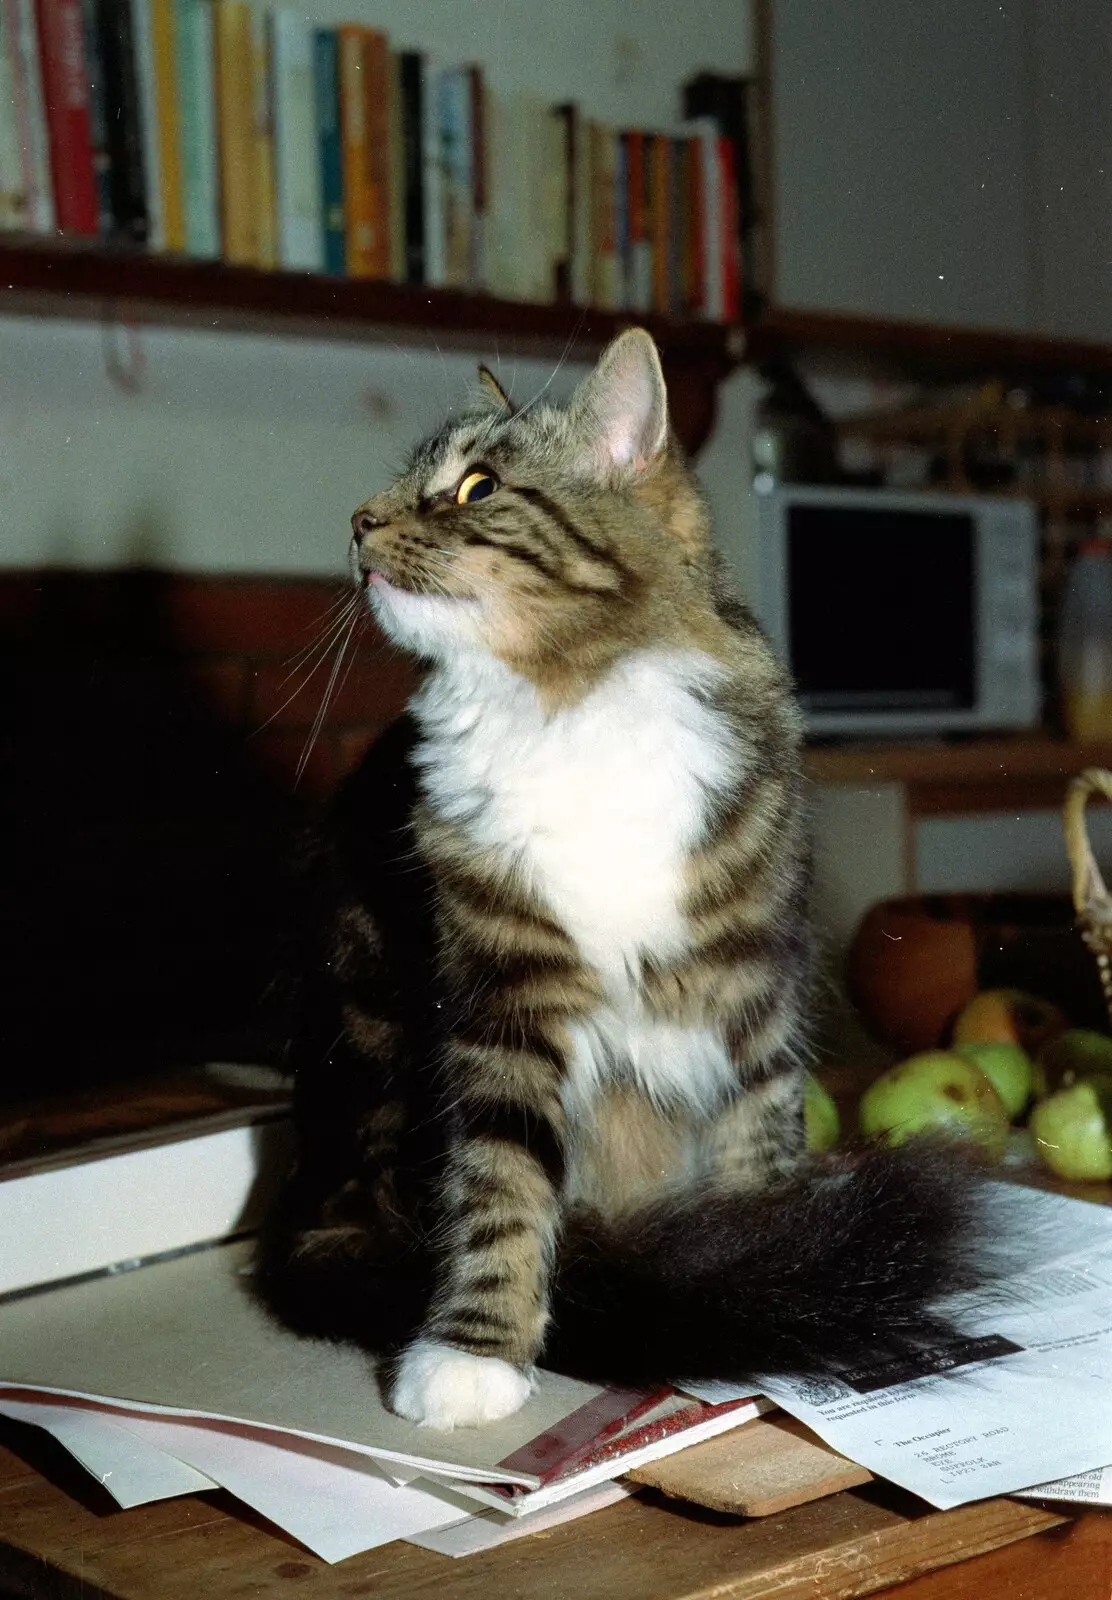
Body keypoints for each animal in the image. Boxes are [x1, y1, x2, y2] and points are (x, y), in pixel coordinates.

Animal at [262, 331, 985, 1433]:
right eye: (401, 484)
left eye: (475, 487)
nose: (358, 520)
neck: (564, 706)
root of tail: (310, 1184)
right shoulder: (501, 996)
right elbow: (503, 1184)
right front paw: (474, 1353)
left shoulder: (752, 989)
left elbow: (756, 1161)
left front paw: (772, 1276)